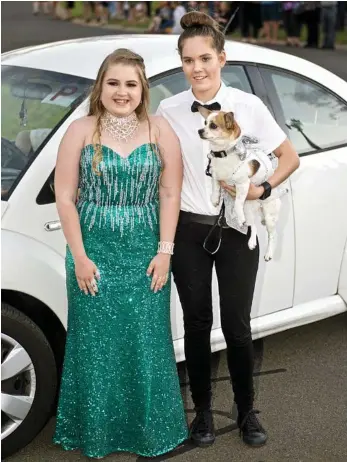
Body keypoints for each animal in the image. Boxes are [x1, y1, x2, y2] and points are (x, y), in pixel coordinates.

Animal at [198, 106, 282, 262]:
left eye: (213, 126)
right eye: (205, 123)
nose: (199, 130)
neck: (223, 154)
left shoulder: (242, 185)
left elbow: (237, 203)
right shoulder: (215, 176)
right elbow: (215, 187)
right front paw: (215, 199)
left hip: (269, 215)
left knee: (273, 235)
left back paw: (268, 253)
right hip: (248, 209)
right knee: (252, 225)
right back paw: (251, 242)